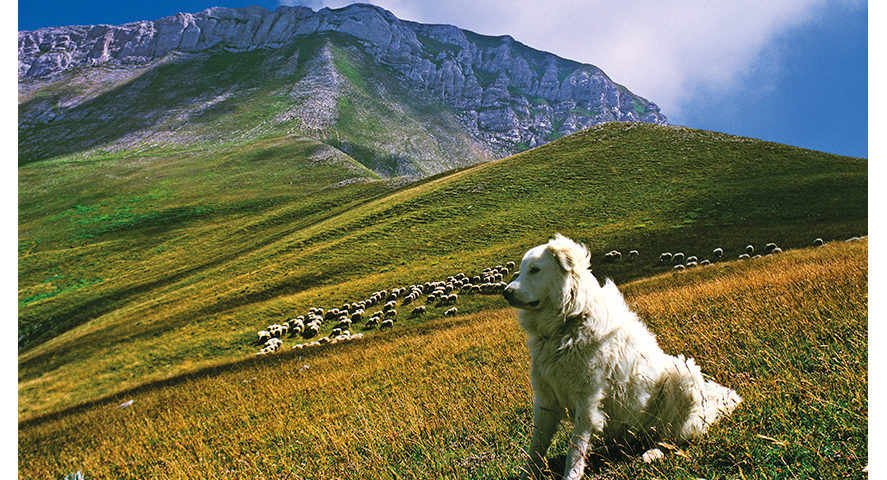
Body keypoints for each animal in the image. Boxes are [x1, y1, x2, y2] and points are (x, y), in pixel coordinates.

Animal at [506, 234, 744, 478]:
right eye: (521, 270)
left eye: (535, 270)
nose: (506, 292)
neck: (568, 324)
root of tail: (708, 406)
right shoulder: (545, 399)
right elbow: (536, 448)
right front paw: (527, 474)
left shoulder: (587, 400)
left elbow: (575, 450)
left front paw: (571, 474)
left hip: (683, 374)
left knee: (671, 438)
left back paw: (652, 453)